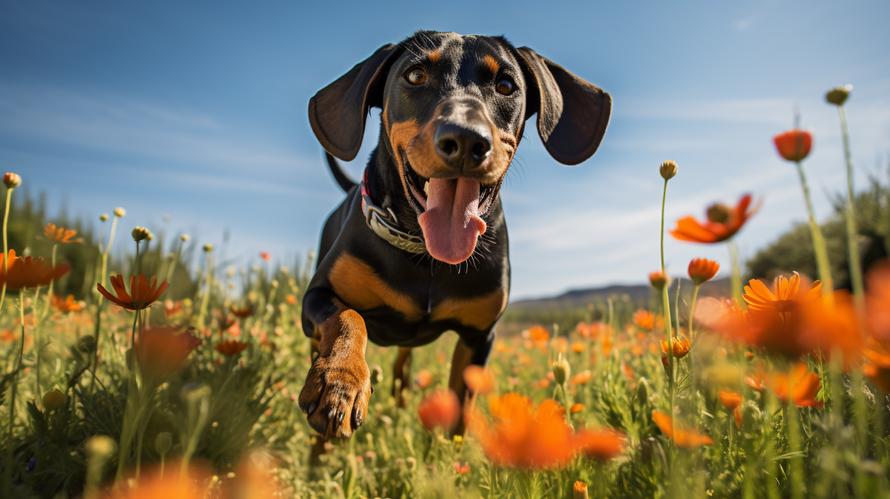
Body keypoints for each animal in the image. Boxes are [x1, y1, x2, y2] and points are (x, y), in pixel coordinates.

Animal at [302, 31, 608, 440]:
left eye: (506, 85)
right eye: (415, 76)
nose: (465, 140)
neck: (425, 254)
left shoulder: (478, 337)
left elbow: (459, 414)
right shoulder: (318, 295)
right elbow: (346, 317)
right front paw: (340, 381)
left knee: (402, 366)